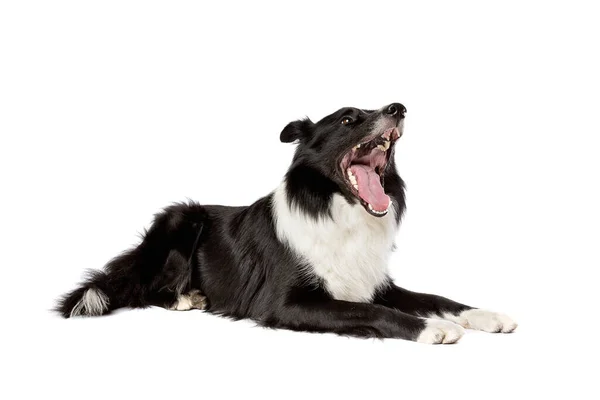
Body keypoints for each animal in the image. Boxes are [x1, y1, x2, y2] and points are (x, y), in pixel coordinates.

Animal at [55, 103, 516, 344]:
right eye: (348, 119)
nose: (398, 108)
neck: (338, 210)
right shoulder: (285, 303)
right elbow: (370, 311)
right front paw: (432, 328)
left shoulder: (376, 282)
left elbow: (433, 296)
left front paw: (484, 315)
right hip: (180, 219)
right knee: (143, 287)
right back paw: (187, 297)